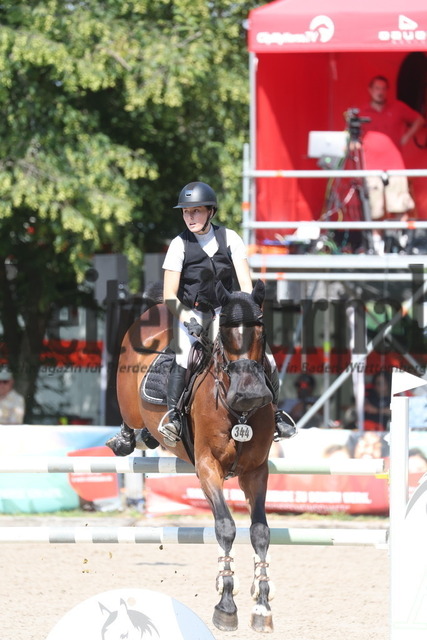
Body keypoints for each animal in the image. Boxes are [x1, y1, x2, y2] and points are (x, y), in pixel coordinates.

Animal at [112, 282, 276, 636]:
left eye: (262, 333)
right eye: (224, 336)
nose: (251, 395)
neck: (237, 411)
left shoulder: (256, 472)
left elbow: (260, 532)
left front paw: (262, 607)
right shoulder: (207, 468)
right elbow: (226, 527)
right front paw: (226, 606)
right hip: (128, 398)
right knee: (129, 419)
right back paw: (126, 439)